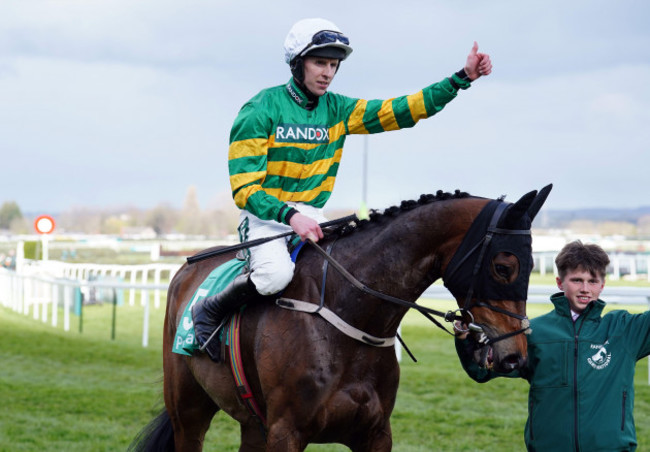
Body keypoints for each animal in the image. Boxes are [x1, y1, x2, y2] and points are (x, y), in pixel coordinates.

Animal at [132, 185, 552, 452]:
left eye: (535, 263)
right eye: (504, 266)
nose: (514, 356)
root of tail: (185, 270)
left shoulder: (375, 434)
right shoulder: (286, 433)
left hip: (251, 423)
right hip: (188, 411)